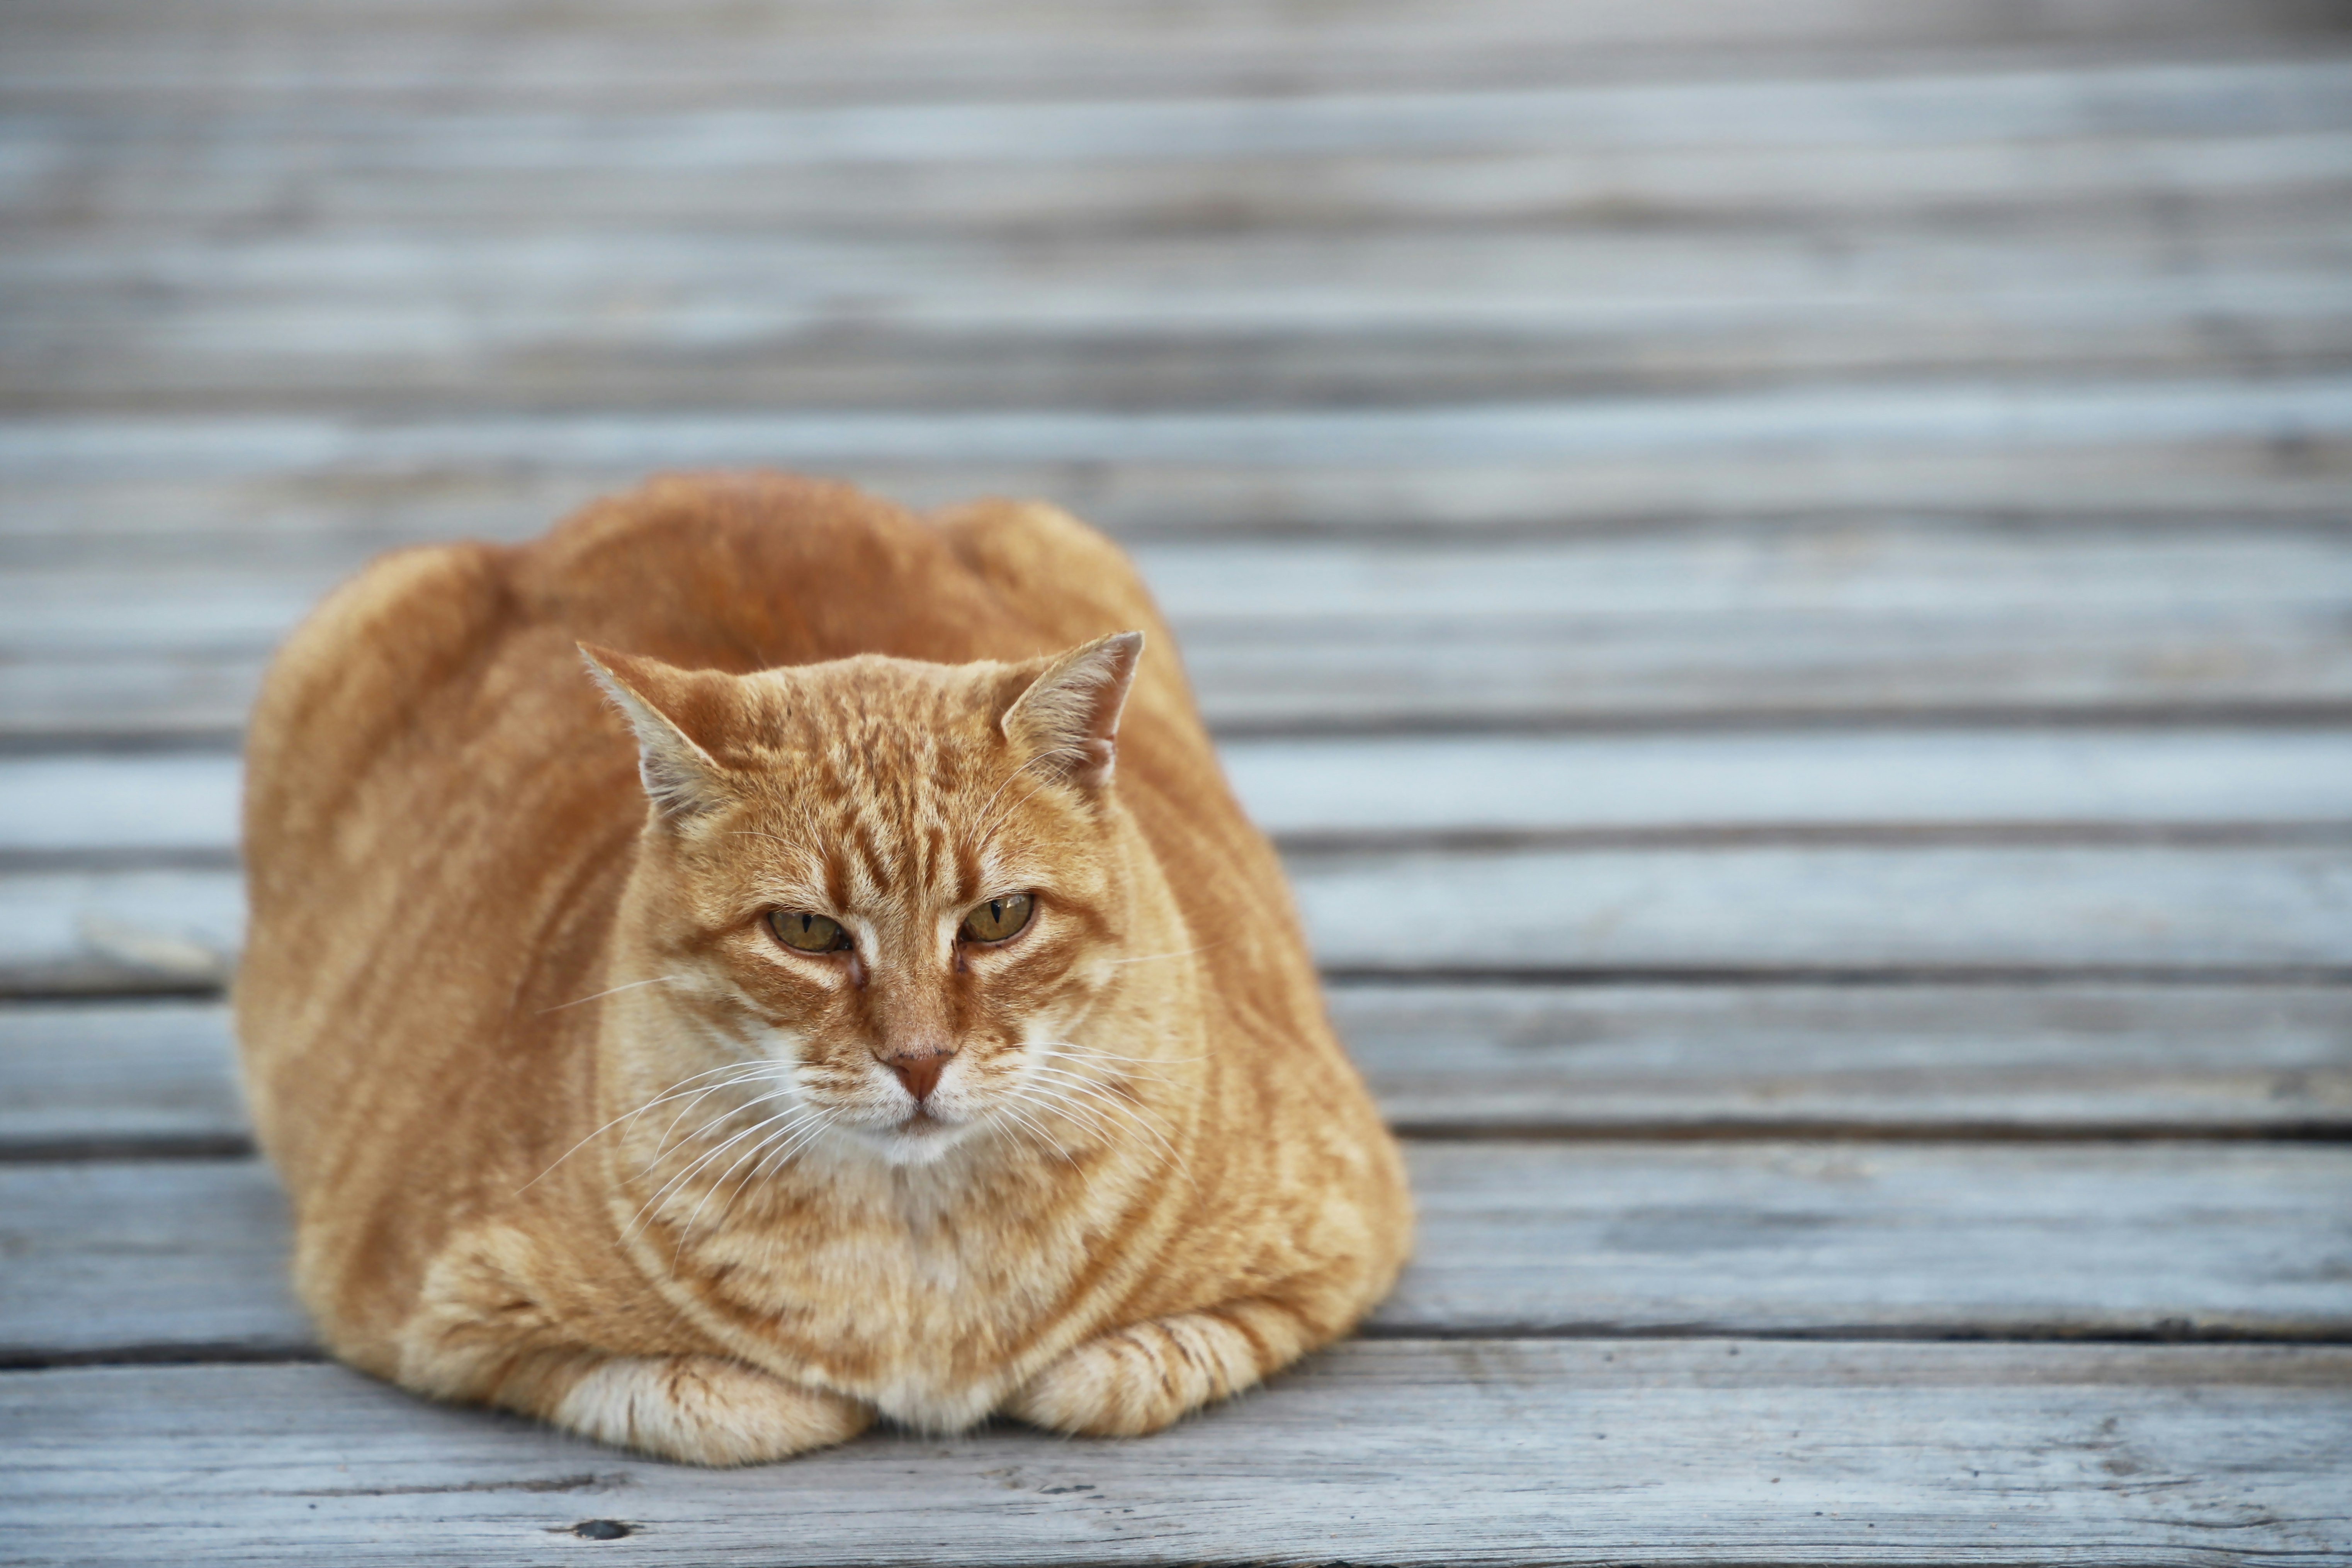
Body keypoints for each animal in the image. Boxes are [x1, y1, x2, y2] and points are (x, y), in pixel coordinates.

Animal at [236, 472, 1402, 1467]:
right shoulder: (444, 1313)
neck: (921, 1251)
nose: (921, 1059)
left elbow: (1117, 1373)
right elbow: (712, 1398)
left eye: (1001, 917)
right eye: (805, 930)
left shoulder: (1340, 1236)